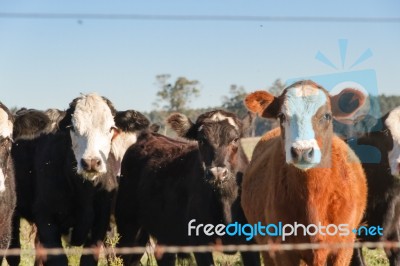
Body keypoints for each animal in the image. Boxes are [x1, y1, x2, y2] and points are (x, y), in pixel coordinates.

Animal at [7, 94, 150, 266]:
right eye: (73, 128)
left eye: (110, 128)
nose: (91, 162)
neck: (84, 190)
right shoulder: (46, 218)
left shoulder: (100, 225)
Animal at [114, 109, 260, 266]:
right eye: (201, 140)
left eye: (235, 139)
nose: (217, 173)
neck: (225, 201)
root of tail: (147, 135)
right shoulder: (200, 243)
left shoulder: (252, 244)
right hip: (128, 225)